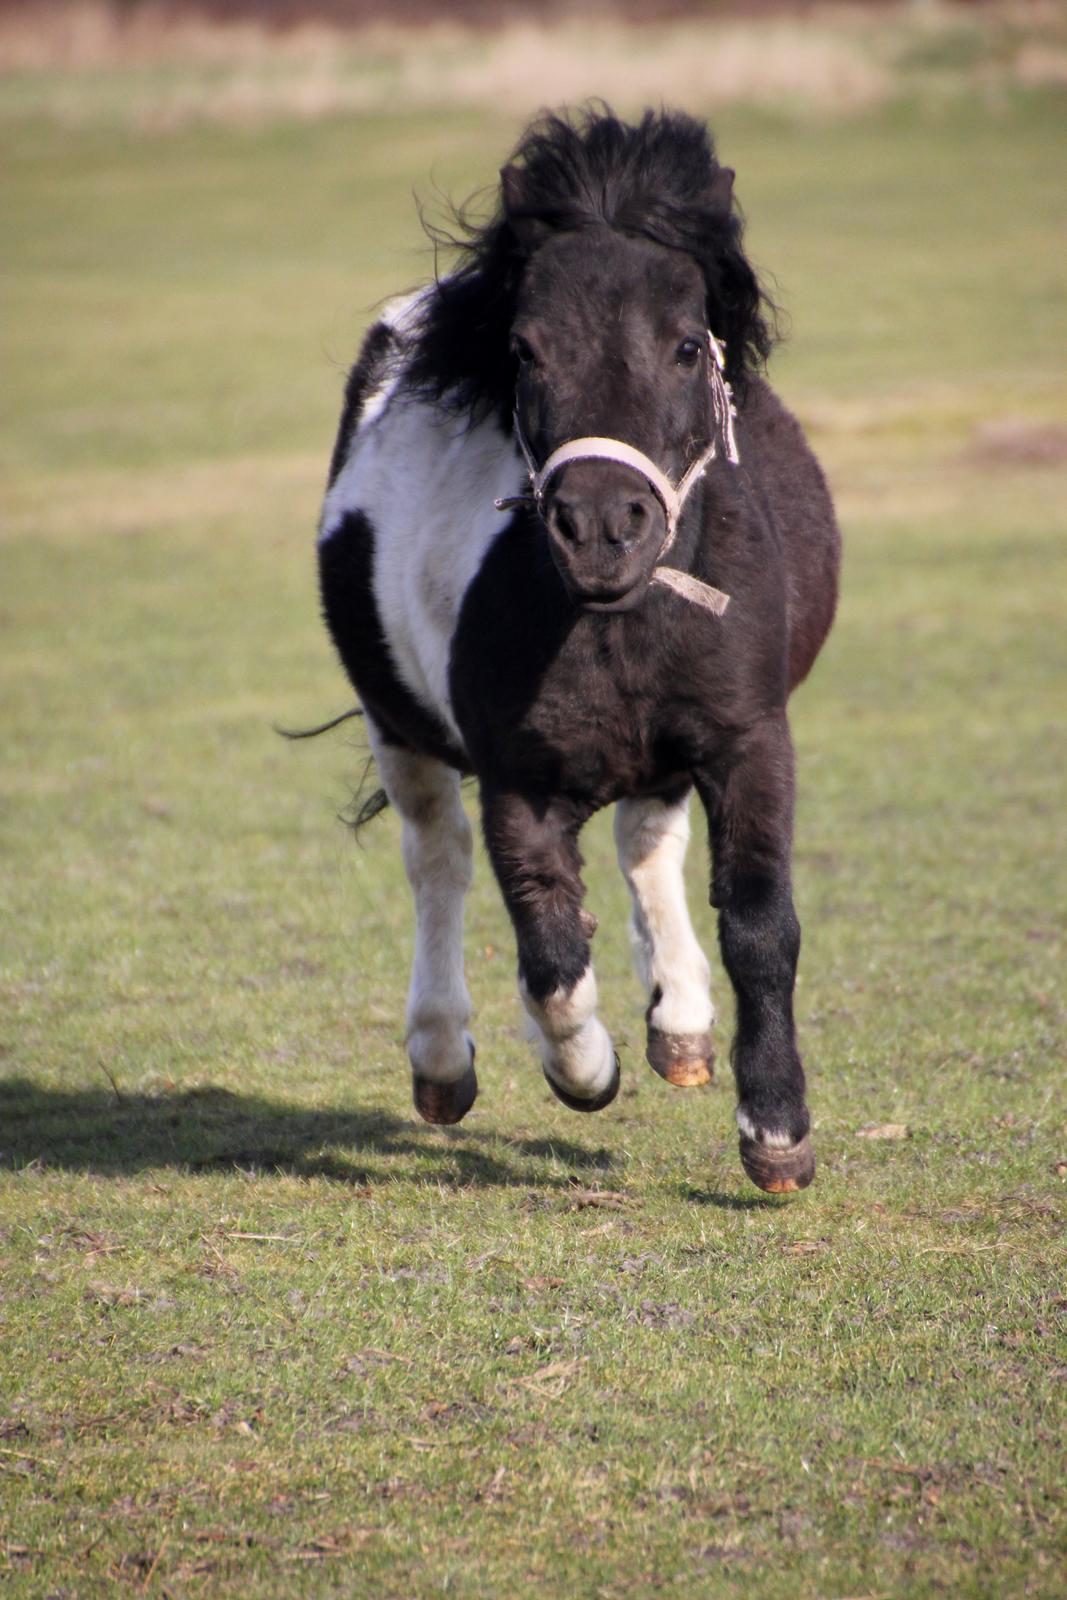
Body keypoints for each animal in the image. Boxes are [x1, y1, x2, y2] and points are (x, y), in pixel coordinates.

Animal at [313, 106, 838, 1196]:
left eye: (684, 345)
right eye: (524, 348)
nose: (600, 527)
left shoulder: (746, 742)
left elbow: (759, 925)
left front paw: (773, 1129)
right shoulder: (518, 784)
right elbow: (548, 948)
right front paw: (583, 1065)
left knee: (647, 844)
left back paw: (679, 1023)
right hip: (397, 725)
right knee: (437, 861)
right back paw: (444, 1060)